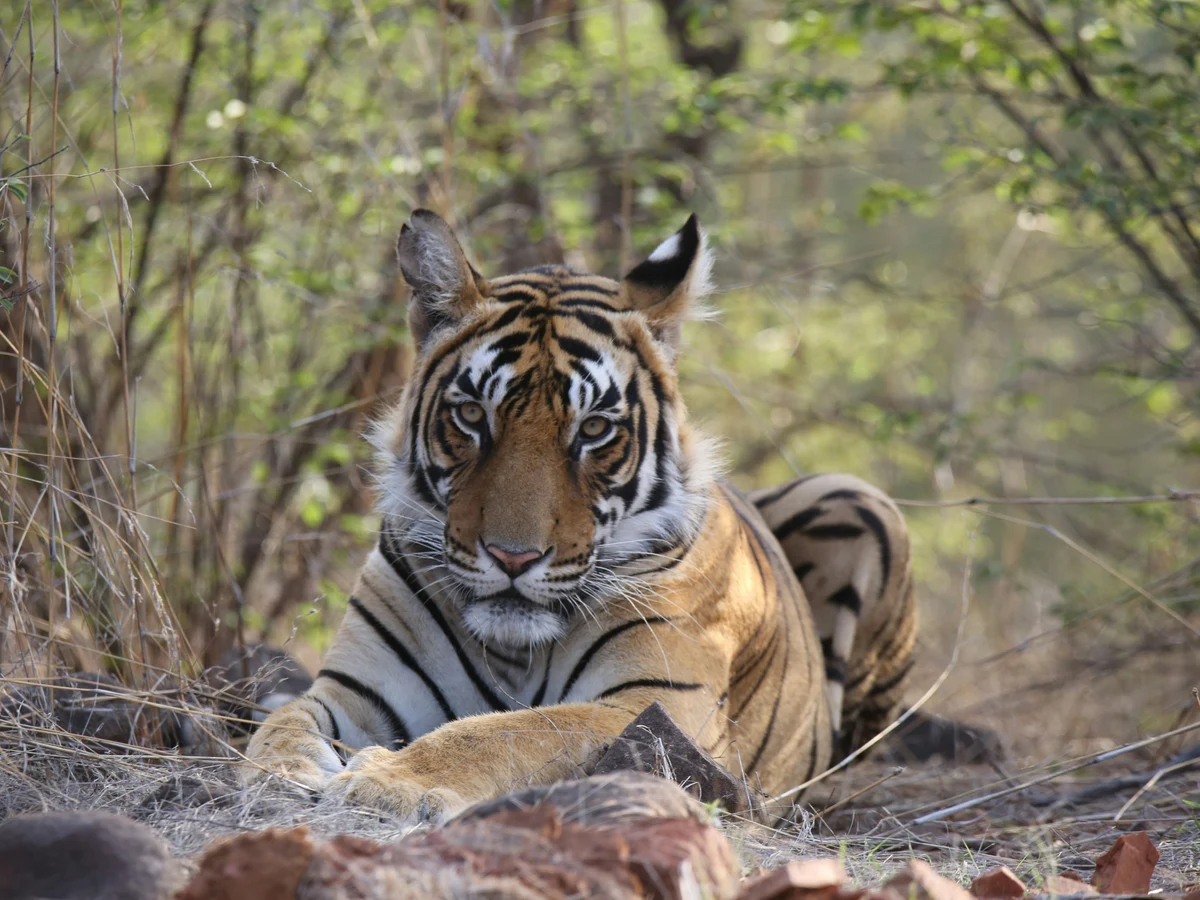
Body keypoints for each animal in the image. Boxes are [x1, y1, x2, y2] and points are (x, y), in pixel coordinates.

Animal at [243, 209, 917, 822]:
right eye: (472, 415)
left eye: (593, 429)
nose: (513, 557)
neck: (513, 650)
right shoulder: (354, 688)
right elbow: (285, 720)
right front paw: (283, 771)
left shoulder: (651, 704)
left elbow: (507, 731)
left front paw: (387, 781)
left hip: (858, 498)